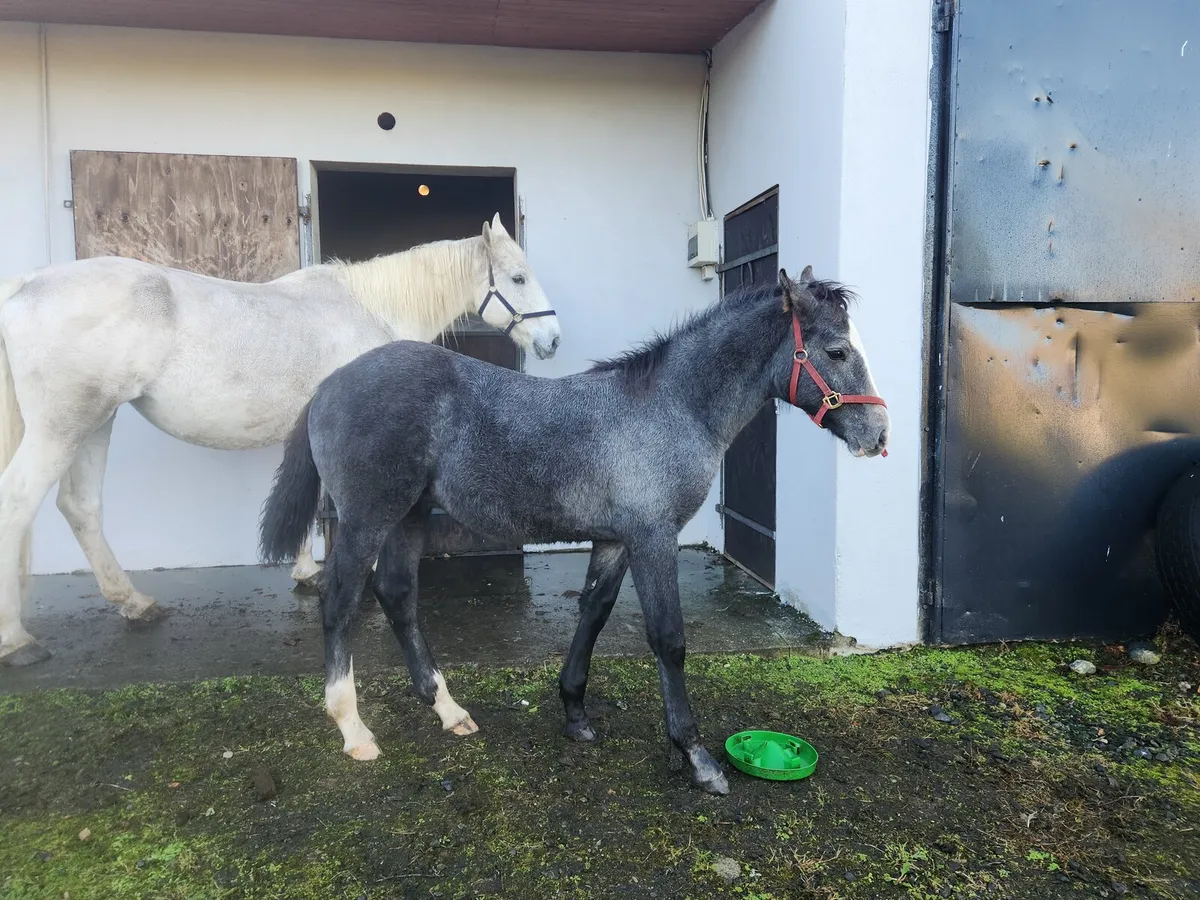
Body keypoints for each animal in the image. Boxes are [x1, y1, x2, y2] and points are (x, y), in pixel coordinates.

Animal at [0, 213, 560, 667]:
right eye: (517, 277)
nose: (553, 341)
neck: (370, 311)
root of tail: (25, 285)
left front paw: (306, 572)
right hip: (65, 425)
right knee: (20, 503)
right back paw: (17, 640)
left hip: (97, 421)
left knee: (80, 506)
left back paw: (134, 604)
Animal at [259, 265, 887, 795]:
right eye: (836, 350)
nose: (877, 435)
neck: (671, 407)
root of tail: (329, 385)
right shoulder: (653, 538)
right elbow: (669, 639)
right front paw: (696, 757)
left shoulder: (614, 539)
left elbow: (593, 613)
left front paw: (575, 714)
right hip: (367, 518)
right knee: (340, 602)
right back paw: (354, 730)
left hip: (408, 516)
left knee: (397, 595)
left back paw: (448, 710)